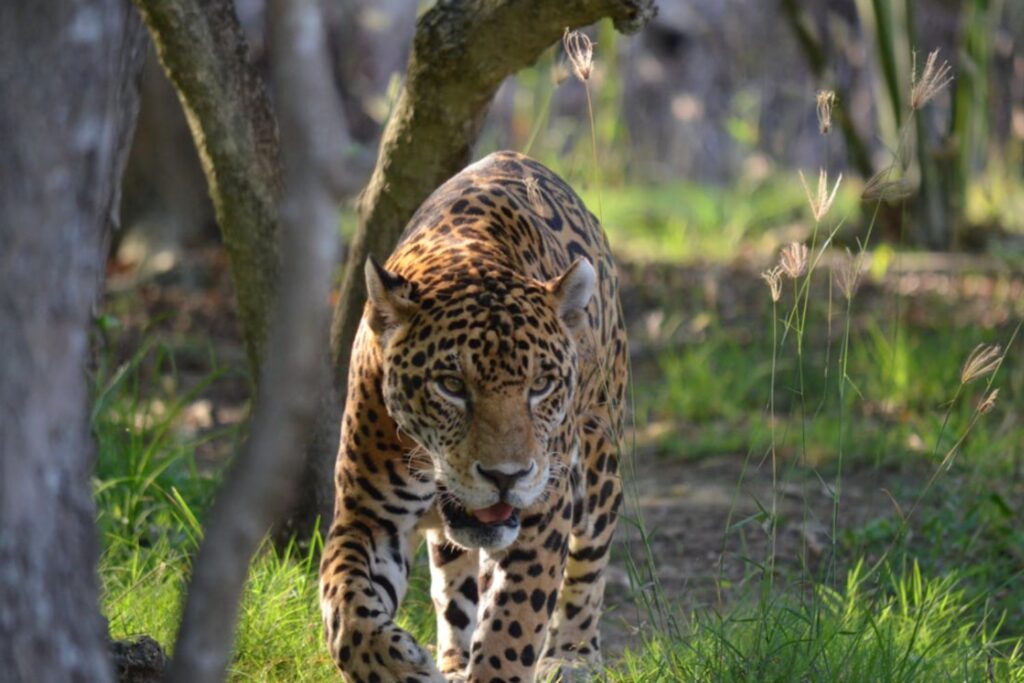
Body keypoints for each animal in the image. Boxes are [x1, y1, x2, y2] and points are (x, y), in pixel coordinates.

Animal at [319, 150, 628, 683]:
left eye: (541, 385)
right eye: (451, 386)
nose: (506, 476)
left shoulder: (543, 515)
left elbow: (513, 623)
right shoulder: (367, 517)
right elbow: (346, 606)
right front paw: (397, 666)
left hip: (599, 459)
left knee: (589, 563)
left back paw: (570, 655)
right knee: (453, 584)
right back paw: (454, 661)